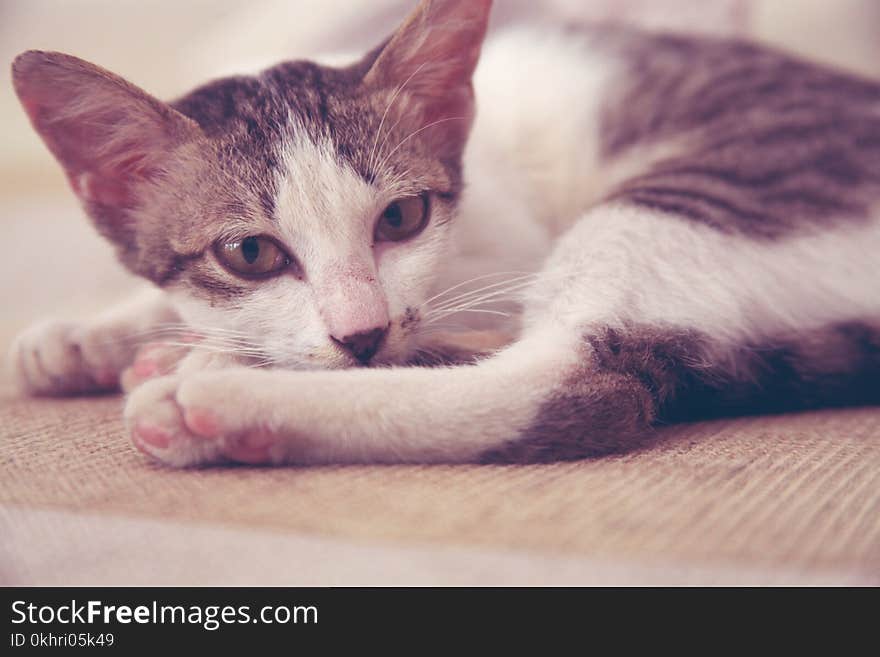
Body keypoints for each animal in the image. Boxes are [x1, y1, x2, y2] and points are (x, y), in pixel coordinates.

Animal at [8, 0, 880, 466]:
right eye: (249, 252)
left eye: (400, 219)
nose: (360, 332)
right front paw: (90, 333)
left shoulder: (506, 250)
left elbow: (447, 314)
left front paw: (206, 352)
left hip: (725, 185)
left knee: (575, 378)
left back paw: (222, 397)